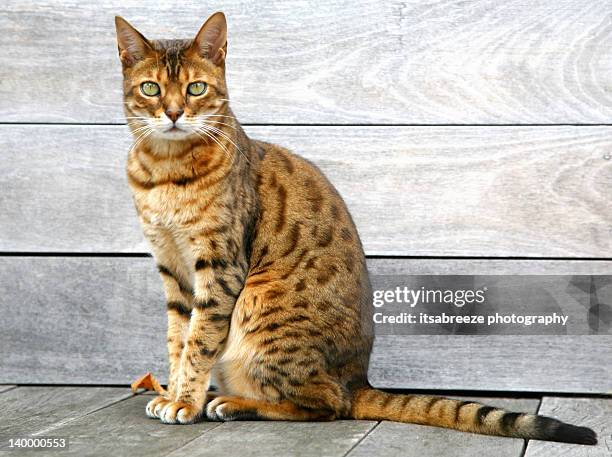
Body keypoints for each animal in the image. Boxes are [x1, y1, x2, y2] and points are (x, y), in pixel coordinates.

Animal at [115, 12, 596, 444]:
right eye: (151, 88)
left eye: (195, 88)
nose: (173, 113)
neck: (165, 170)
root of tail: (359, 378)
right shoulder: (172, 269)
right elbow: (178, 340)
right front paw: (173, 394)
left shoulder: (219, 265)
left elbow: (199, 342)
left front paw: (185, 401)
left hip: (259, 304)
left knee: (328, 403)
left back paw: (233, 403)